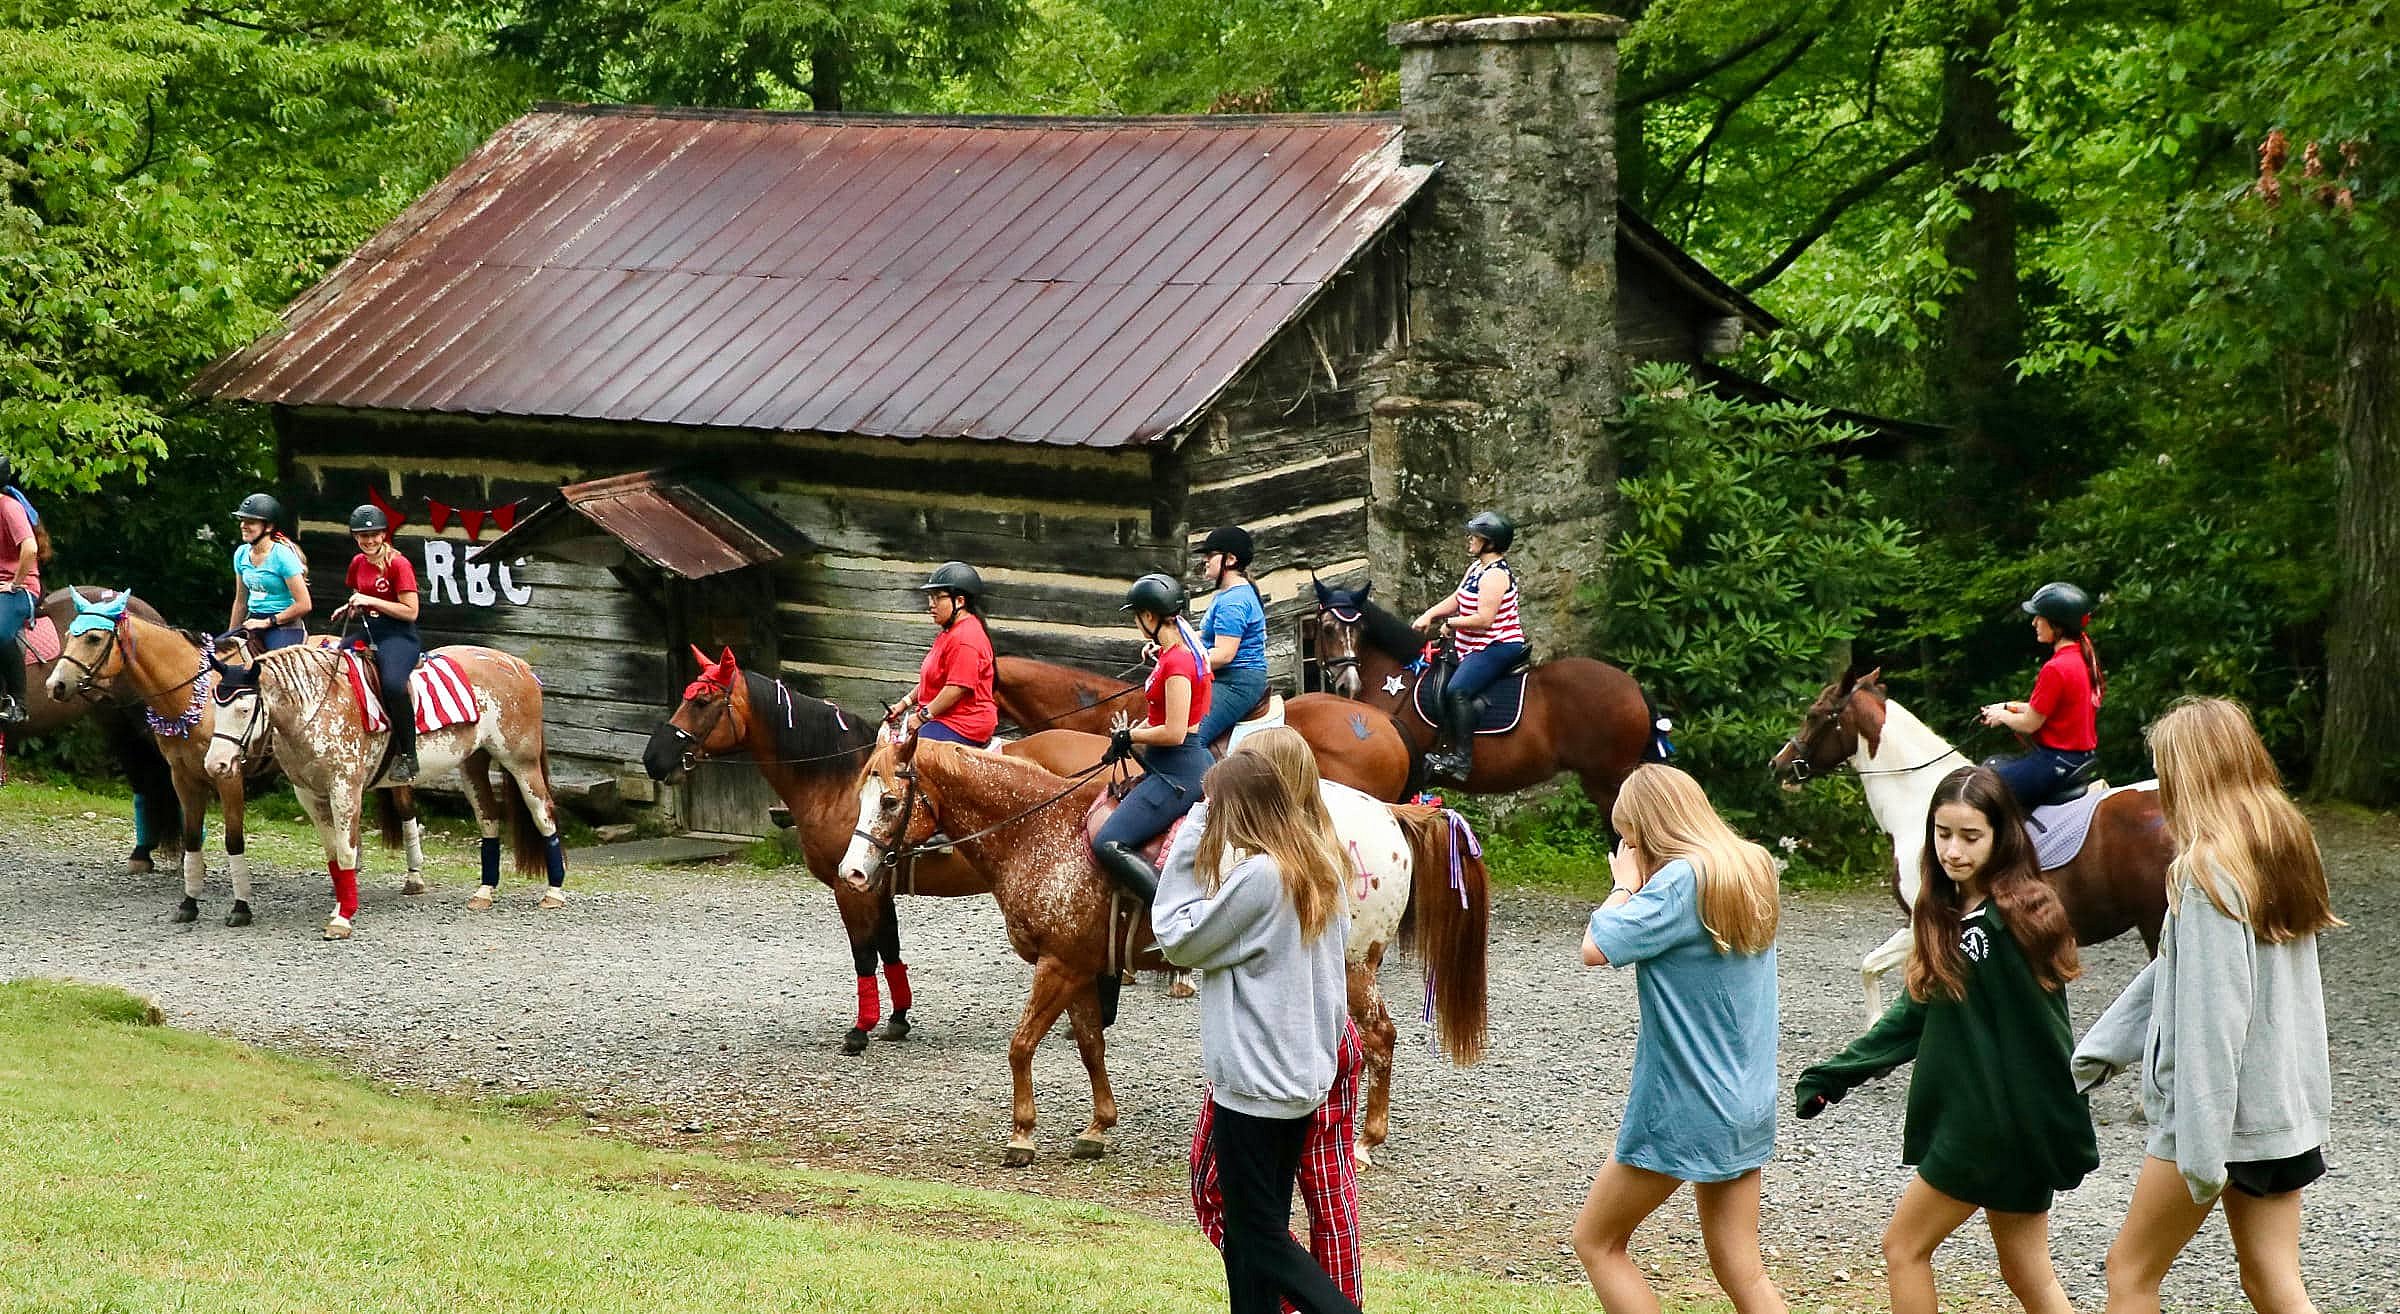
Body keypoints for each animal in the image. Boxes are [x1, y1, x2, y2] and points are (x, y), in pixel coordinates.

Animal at [200, 639, 564, 939]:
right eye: (215, 707)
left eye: (243, 709)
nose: (215, 765)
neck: (318, 705)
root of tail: (518, 665)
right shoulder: (310, 795)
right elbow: (333, 856)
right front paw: (341, 906)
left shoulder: (345, 789)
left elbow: (347, 852)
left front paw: (343, 918)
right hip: (473, 764)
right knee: (488, 819)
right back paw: (485, 891)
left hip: (521, 762)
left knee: (544, 815)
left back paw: (554, 892)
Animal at [640, 647, 1116, 1054]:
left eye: (702, 701)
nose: (653, 759)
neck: (838, 779)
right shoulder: (874, 883)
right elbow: (890, 949)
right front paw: (898, 1018)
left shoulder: (851, 888)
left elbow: (864, 954)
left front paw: (859, 1029)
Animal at [837, 730, 1489, 1167]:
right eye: (862, 797)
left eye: (890, 801)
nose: (852, 873)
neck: (1037, 832)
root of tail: (1389, 813)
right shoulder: (1080, 966)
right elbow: (1090, 1046)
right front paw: (1098, 1127)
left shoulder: (1057, 965)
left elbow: (1021, 1046)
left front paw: (1023, 1134)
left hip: (1354, 965)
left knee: (1380, 1038)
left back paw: (1365, 1139)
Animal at [1308, 581, 1656, 813]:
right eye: (1326, 628)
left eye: (1360, 630)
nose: (1348, 685)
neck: (1396, 681)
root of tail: (1633, 686)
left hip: (1608, 781)